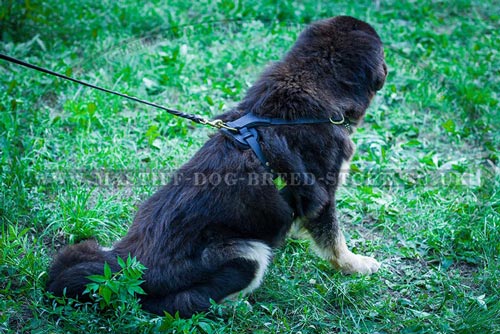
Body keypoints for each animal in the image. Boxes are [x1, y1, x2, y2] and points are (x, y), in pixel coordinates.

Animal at [47, 15, 386, 318]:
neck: (311, 82)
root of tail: (132, 265)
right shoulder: (322, 195)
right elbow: (335, 241)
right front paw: (356, 265)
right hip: (246, 253)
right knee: (181, 303)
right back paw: (235, 306)